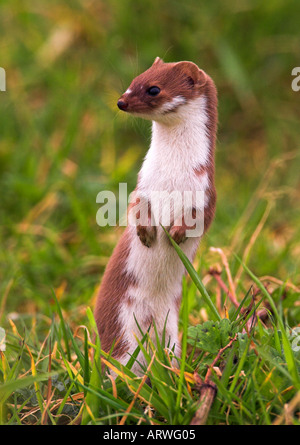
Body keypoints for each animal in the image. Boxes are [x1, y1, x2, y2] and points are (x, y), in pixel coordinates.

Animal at [95, 57, 217, 372]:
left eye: (153, 88)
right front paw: (146, 233)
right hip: (120, 320)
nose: (121, 101)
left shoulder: (206, 192)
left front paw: (176, 233)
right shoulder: (143, 184)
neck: (171, 176)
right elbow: (136, 207)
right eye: (133, 80)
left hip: (171, 328)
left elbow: (201, 218)